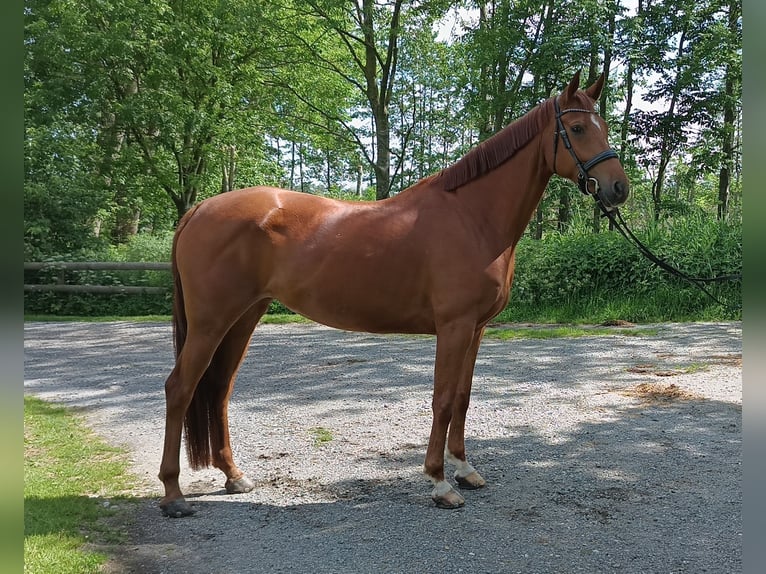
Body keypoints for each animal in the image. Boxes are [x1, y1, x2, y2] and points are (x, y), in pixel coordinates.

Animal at [158, 71, 632, 516]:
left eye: (604, 126)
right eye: (577, 129)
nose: (619, 188)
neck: (472, 217)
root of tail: (199, 209)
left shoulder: (476, 329)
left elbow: (463, 398)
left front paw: (465, 469)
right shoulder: (454, 327)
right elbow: (443, 400)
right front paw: (440, 483)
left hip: (244, 317)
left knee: (218, 390)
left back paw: (234, 476)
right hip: (211, 322)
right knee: (180, 388)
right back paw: (173, 494)